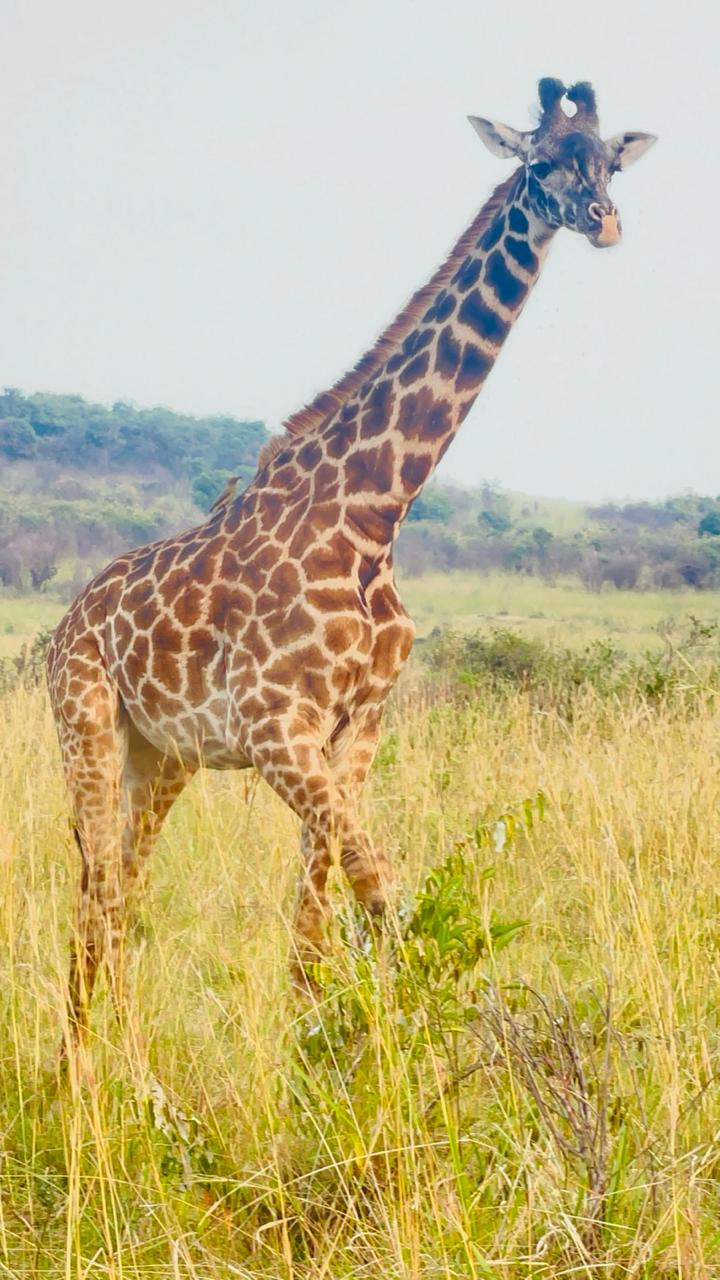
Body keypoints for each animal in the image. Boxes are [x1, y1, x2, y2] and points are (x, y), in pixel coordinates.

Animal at [47, 78, 655, 1035]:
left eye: (607, 162)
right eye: (540, 162)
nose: (604, 221)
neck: (375, 514)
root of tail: (69, 617)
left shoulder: (354, 727)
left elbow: (320, 905)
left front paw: (318, 1045)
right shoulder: (275, 727)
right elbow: (376, 887)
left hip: (163, 754)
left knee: (122, 889)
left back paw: (108, 1042)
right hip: (87, 731)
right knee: (101, 890)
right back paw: (92, 1058)